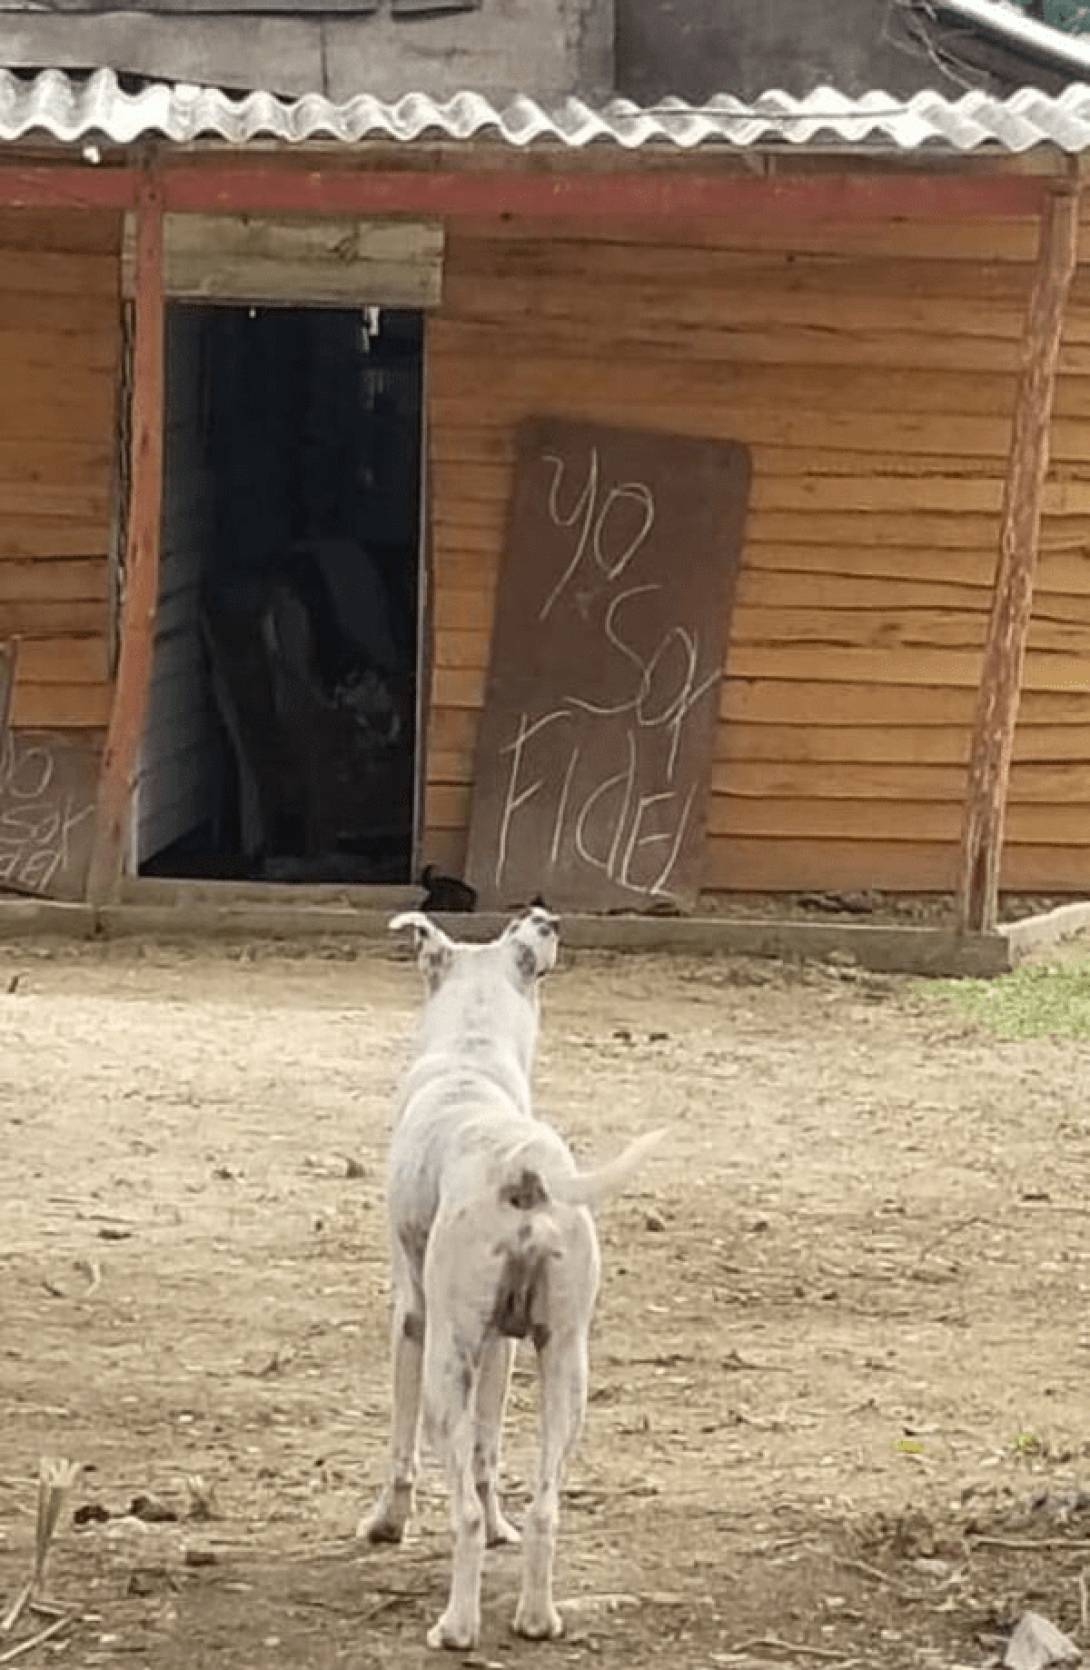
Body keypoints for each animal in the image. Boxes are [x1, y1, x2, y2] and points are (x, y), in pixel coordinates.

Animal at [357, 908, 664, 1649]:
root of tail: (523, 1166)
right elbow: (489, 1453)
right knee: (546, 1507)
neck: (470, 1052)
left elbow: (401, 1450)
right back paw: (535, 1617)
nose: (541, 914)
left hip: (446, 1363)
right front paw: (503, 1529)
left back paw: (457, 1627)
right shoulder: (502, 1346)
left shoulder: (412, 1324)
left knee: (461, 1512)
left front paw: (384, 1525)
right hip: (565, 1369)